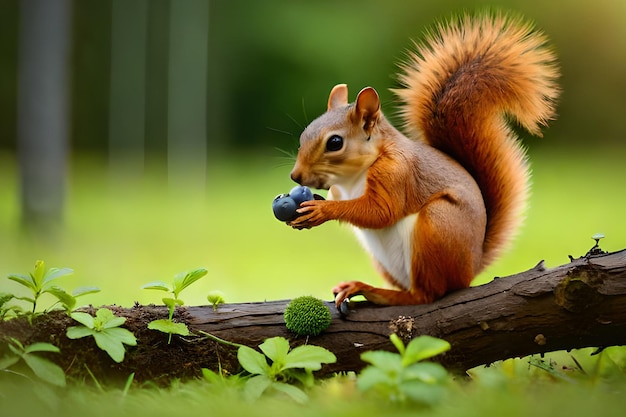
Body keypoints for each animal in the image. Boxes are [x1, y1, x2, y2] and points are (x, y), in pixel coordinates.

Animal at [286, 13, 560, 308]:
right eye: (304, 135)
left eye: (335, 143)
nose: (296, 176)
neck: (352, 177)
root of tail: (471, 269)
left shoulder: (395, 173)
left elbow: (381, 212)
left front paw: (322, 210)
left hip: (436, 228)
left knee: (427, 294)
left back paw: (374, 290)